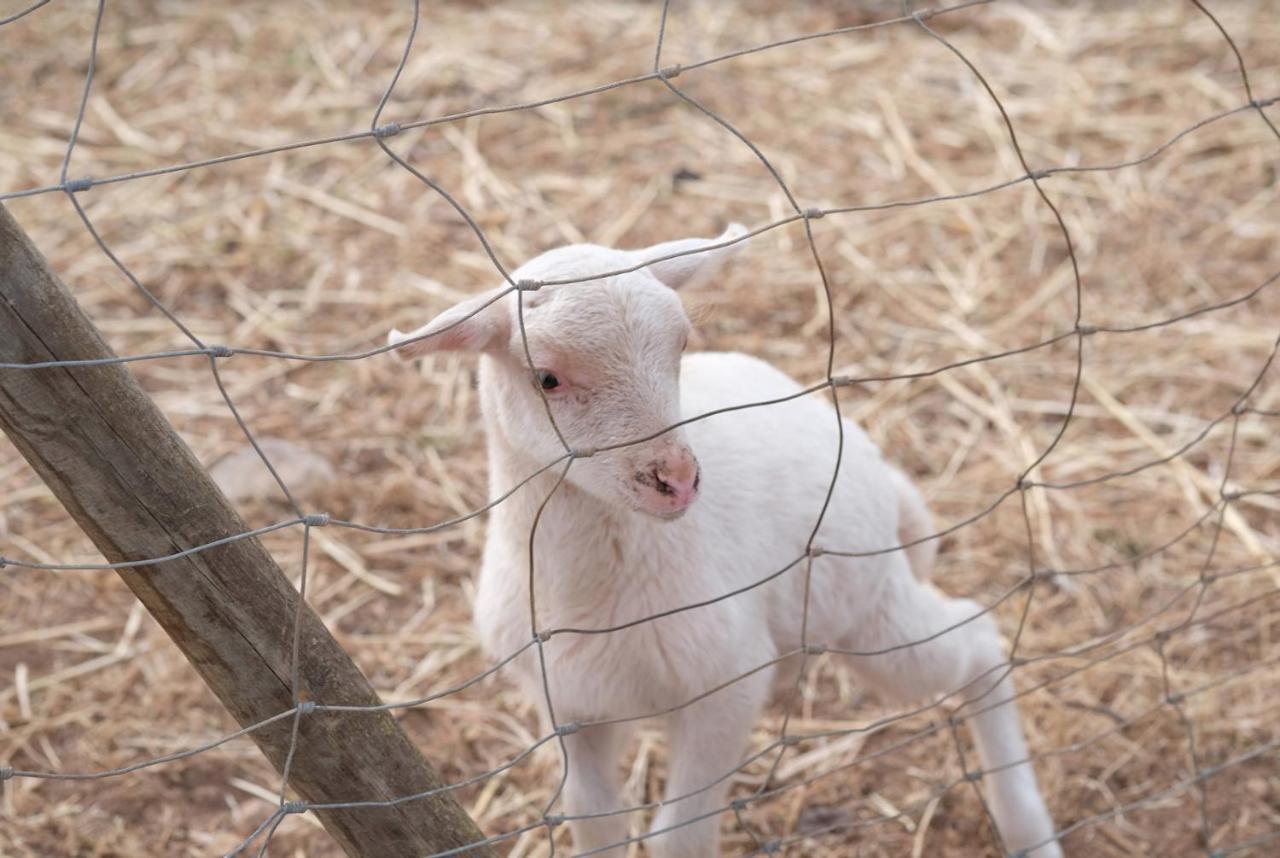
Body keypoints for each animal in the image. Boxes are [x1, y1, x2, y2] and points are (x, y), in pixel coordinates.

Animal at [386, 226, 1059, 858]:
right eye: (546, 379)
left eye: (682, 346)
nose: (677, 480)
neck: (594, 591)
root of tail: (873, 461)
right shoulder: (571, 708)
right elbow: (599, 826)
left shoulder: (728, 681)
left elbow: (676, 836)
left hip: (865, 602)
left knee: (976, 641)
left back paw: (1028, 827)